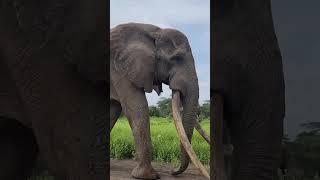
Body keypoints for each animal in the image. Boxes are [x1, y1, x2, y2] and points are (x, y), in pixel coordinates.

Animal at [110, 22, 210, 179]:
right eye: (176, 58)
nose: (172, 171)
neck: (153, 31)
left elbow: (113, 110)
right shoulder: (120, 69)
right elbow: (137, 107)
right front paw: (146, 176)